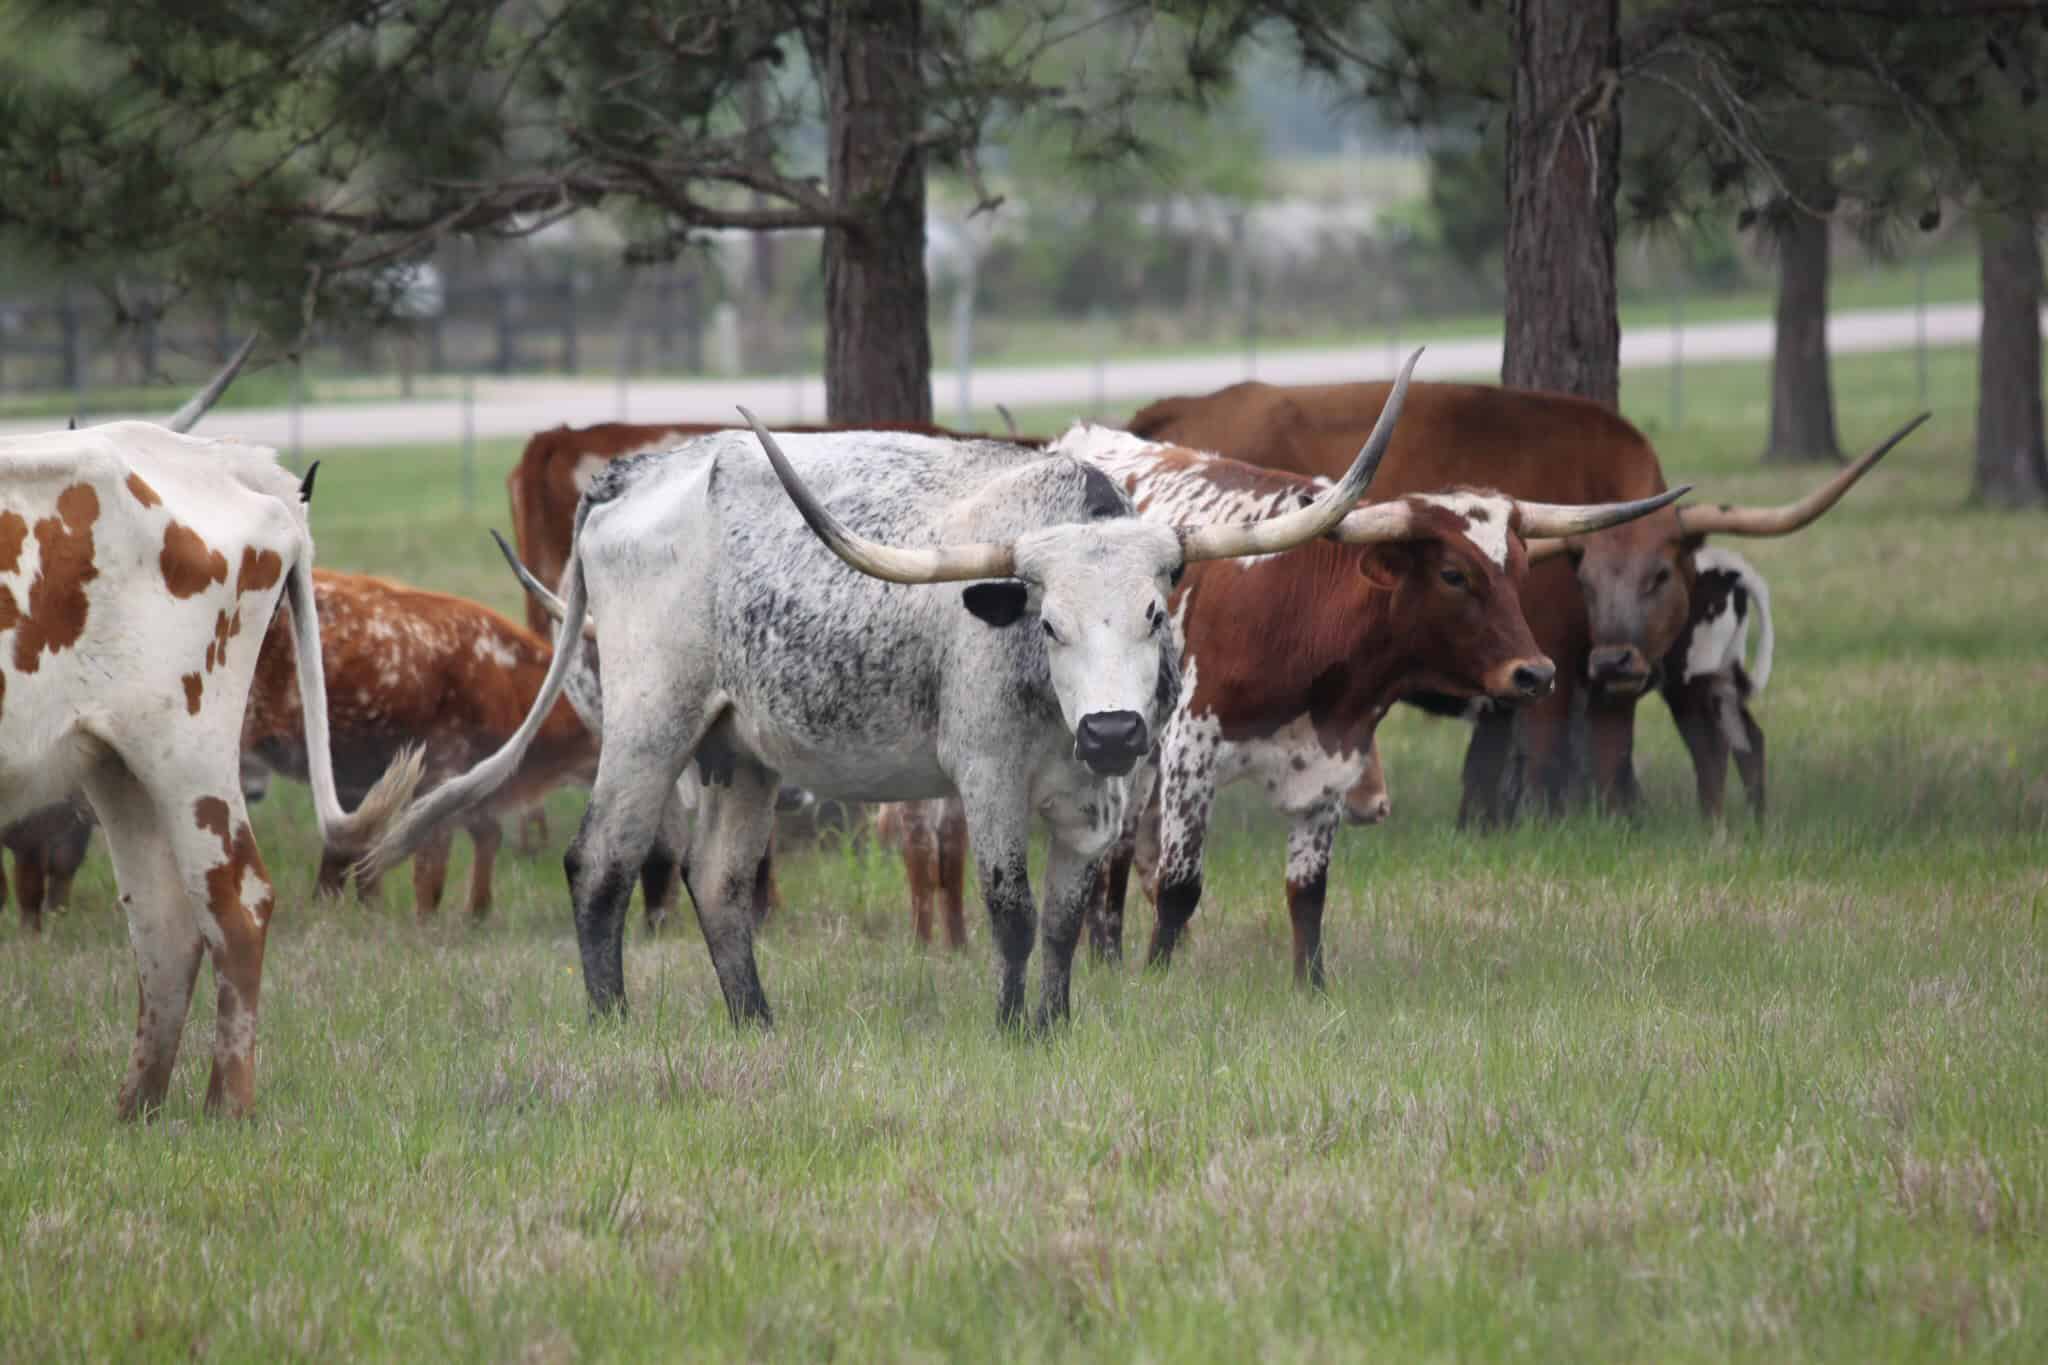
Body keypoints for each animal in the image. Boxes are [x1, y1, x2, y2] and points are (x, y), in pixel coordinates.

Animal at [0, 353, 422, 1119]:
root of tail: (222, 462)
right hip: (117, 759)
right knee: (164, 919)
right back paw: (136, 1107)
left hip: (185, 747)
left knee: (237, 898)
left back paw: (228, 1105)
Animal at [364, 357, 1435, 1033]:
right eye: (1048, 623)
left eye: (1152, 611)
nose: (1112, 726)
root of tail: (633, 473)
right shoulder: (989, 774)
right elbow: (1008, 907)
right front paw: (1012, 1030)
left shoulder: (1105, 796)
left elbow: (1065, 915)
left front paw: (1057, 1023)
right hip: (648, 724)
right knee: (602, 864)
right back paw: (613, 1019)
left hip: (740, 750)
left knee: (721, 881)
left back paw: (755, 1023)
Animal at [1662, 547, 1773, 822]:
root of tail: (1727, 569)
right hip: (1723, 677)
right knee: (1749, 739)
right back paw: (1758, 826)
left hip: (1691, 682)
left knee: (1712, 746)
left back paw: (1711, 827)